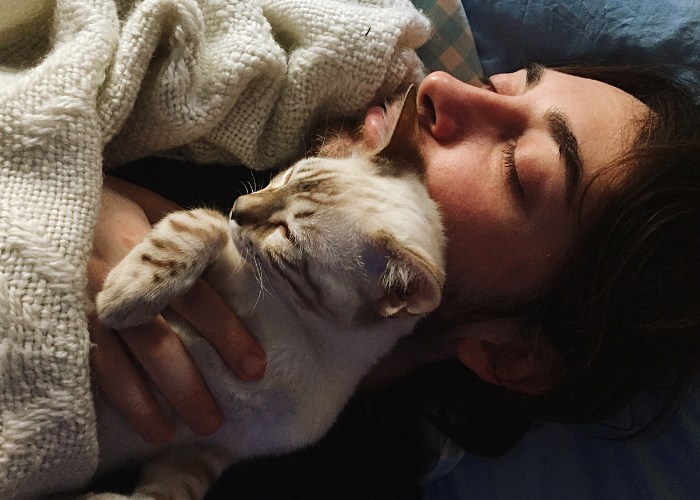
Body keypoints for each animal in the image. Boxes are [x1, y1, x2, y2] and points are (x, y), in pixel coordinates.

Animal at [90, 87, 446, 500]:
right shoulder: (222, 246)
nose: (237, 208)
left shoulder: (203, 450)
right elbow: (201, 226)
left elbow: (161, 497)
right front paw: (120, 299)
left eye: (287, 234)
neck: (304, 337)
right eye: (285, 178)